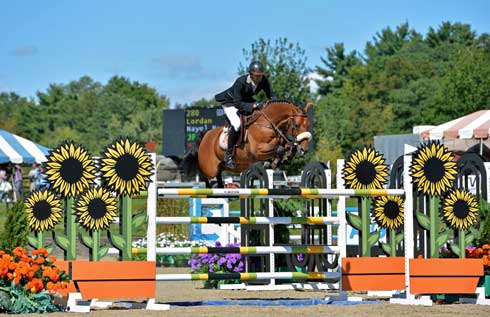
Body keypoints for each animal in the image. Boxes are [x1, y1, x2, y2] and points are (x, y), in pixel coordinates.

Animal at [182, 100, 312, 186]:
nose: (304, 150)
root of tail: (205, 135)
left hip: (222, 166)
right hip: (209, 167)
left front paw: (281, 160)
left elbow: (285, 146)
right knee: (203, 174)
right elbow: (279, 149)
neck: (266, 124)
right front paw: (273, 163)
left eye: (308, 125)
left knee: (218, 175)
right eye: (297, 125)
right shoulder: (258, 151)